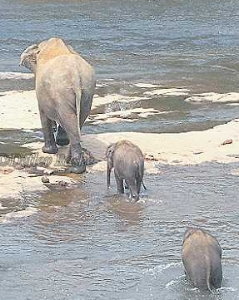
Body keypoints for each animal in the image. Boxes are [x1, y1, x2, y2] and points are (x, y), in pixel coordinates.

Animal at [19, 37, 95, 173]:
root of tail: (76, 75)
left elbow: (43, 114)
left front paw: (47, 151)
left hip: (63, 92)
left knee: (68, 119)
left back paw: (76, 168)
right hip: (87, 92)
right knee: (76, 121)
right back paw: (70, 160)